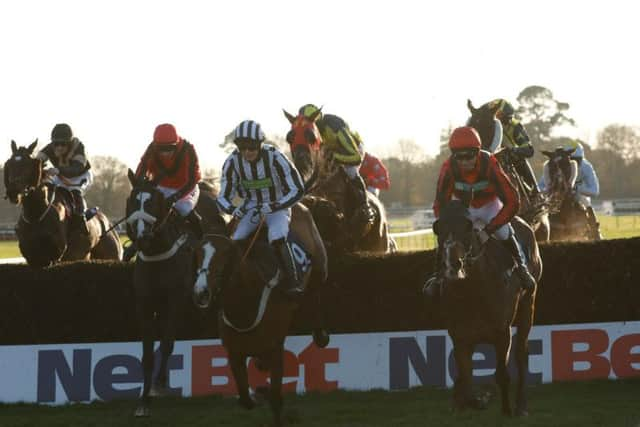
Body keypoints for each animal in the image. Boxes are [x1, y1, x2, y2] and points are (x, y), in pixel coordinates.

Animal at [124, 170, 221, 418]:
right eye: (133, 201)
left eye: (152, 202)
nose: (141, 236)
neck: (157, 253)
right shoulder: (144, 303)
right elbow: (148, 352)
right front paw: (144, 400)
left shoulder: (176, 301)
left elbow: (167, 343)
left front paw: (159, 383)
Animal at [192, 202, 328, 426]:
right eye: (197, 254)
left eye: (224, 256)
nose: (201, 292)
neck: (244, 306)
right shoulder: (234, 352)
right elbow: (246, 400)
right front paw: (258, 392)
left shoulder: (275, 348)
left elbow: (275, 397)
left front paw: (268, 396)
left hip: (319, 266)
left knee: (316, 293)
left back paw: (321, 335)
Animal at [436, 201, 540, 418]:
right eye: (438, 228)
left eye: (467, 228)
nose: (452, 265)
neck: (473, 291)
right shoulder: (460, 336)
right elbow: (465, 378)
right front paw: (472, 400)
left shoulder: (502, 333)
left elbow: (501, 374)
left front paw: (506, 409)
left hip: (529, 302)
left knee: (522, 351)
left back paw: (521, 405)